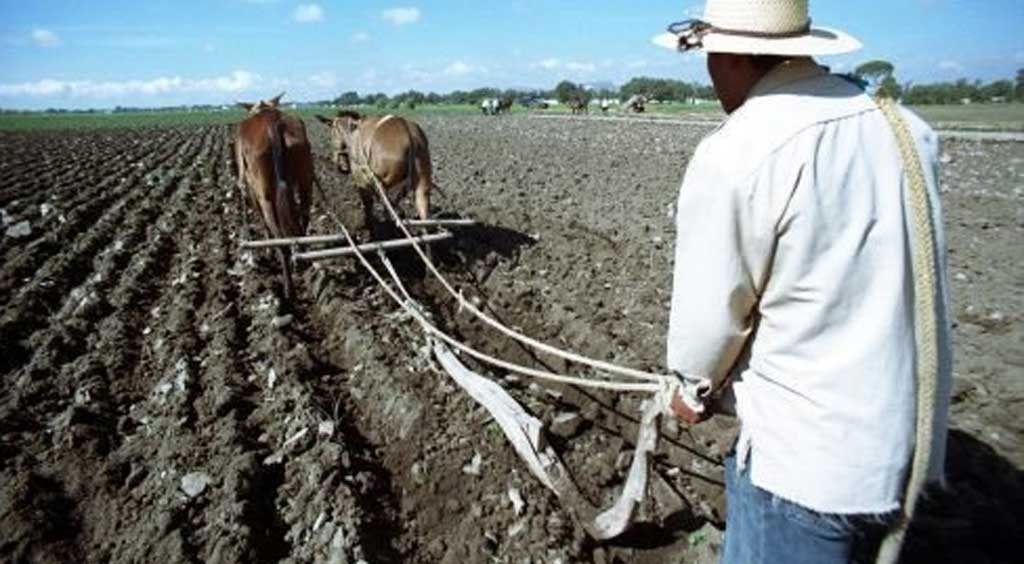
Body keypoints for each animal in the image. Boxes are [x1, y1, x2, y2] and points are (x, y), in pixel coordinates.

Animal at [234, 92, 311, 300]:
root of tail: (273, 125)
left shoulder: (251, 189)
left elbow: (262, 222)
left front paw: (267, 251)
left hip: (265, 194)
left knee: (279, 236)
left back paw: (288, 289)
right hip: (304, 180)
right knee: (303, 218)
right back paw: (300, 257)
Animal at [317, 111, 434, 239]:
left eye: (332, 134)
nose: (341, 167)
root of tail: (409, 135)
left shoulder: (362, 183)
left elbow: (368, 207)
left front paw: (371, 231)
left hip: (383, 184)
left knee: (387, 208)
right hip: (422, 183)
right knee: (423, 215)